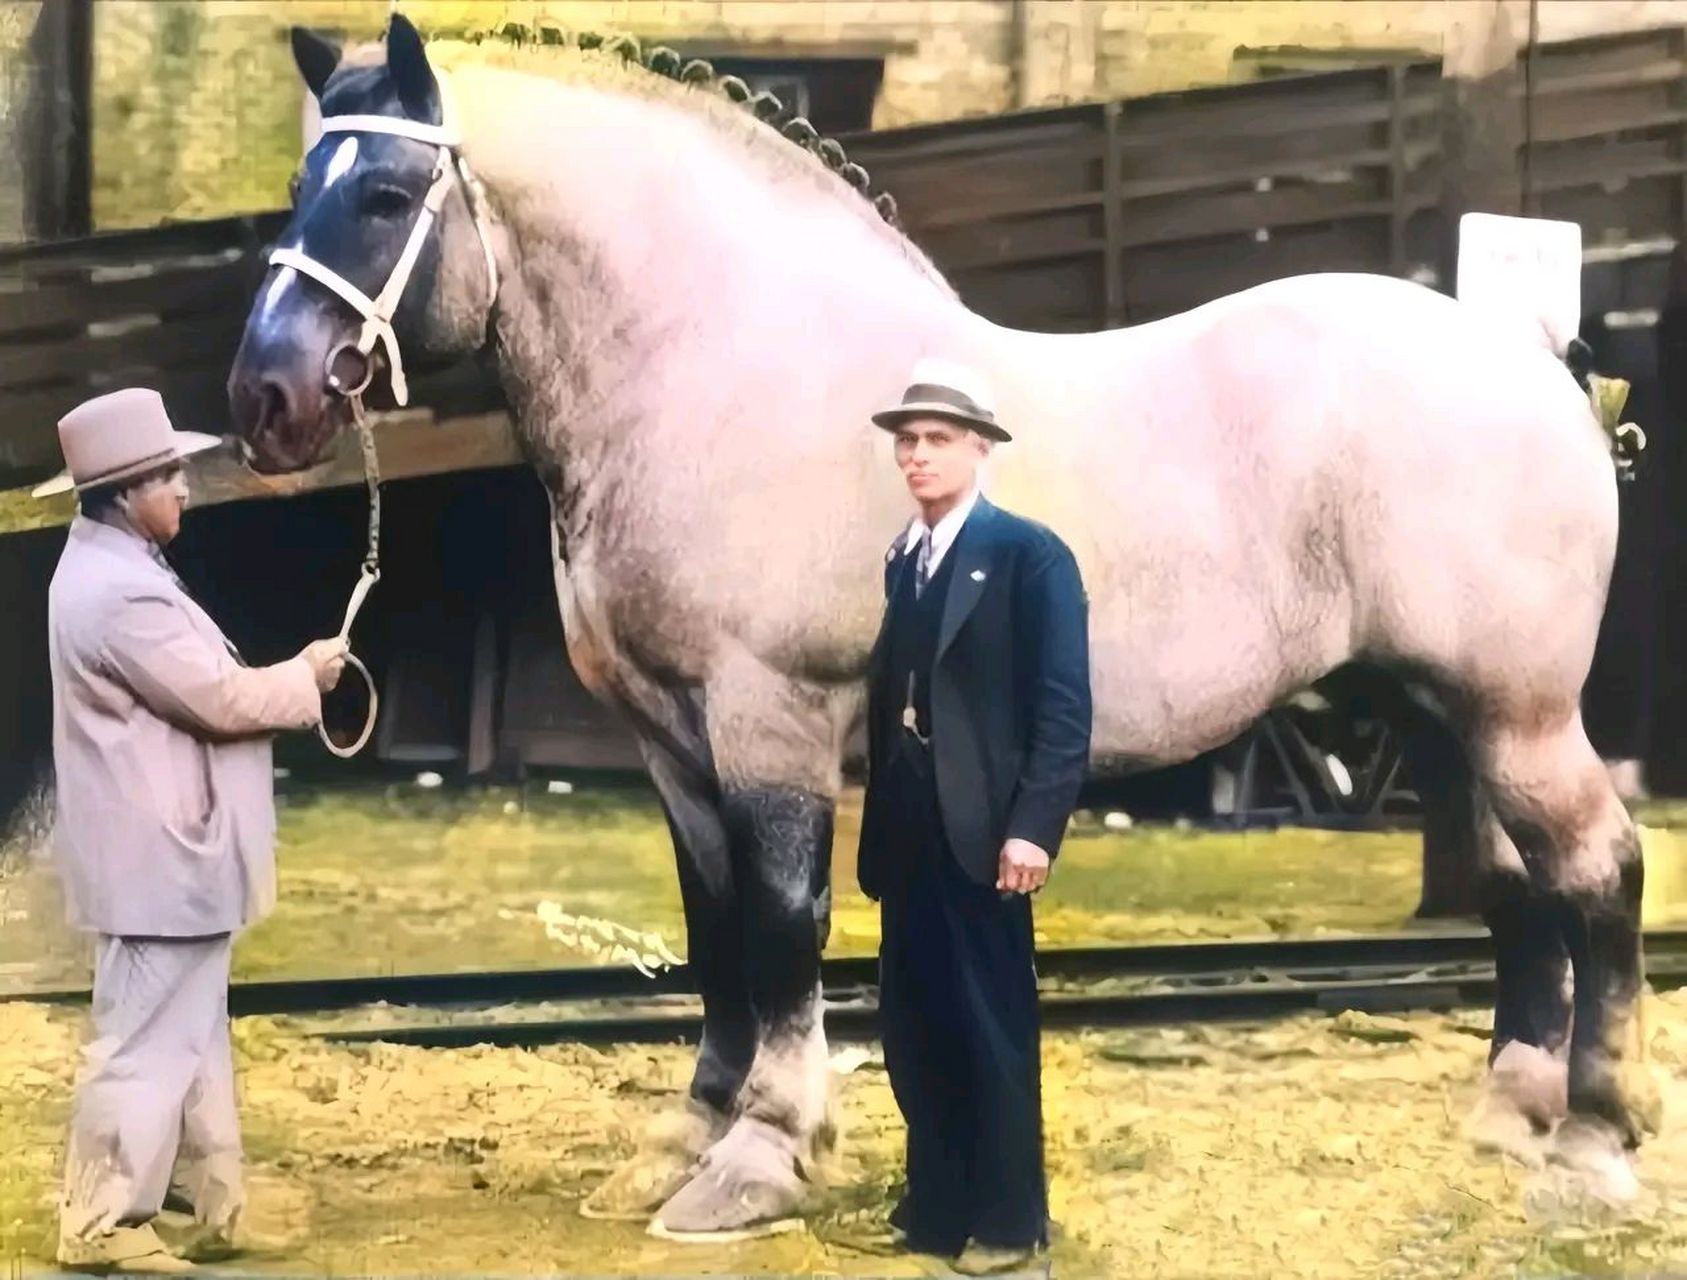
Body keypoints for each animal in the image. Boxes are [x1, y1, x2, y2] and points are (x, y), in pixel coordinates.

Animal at [226, 15, 1653, 1237]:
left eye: (384, 195)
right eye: (299, 188)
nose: (266, 398)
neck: (722, 369)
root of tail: (1541, 362)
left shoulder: (769, 719)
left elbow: (781, 925)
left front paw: (761, 1157)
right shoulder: (674, 745)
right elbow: (713, 929)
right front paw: (686, 1137)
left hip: (1519, 713)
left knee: (1599, 870)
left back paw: (1592, 1141)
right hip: (1446, 712)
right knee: (1518, 885)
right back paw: (1509, 1116)